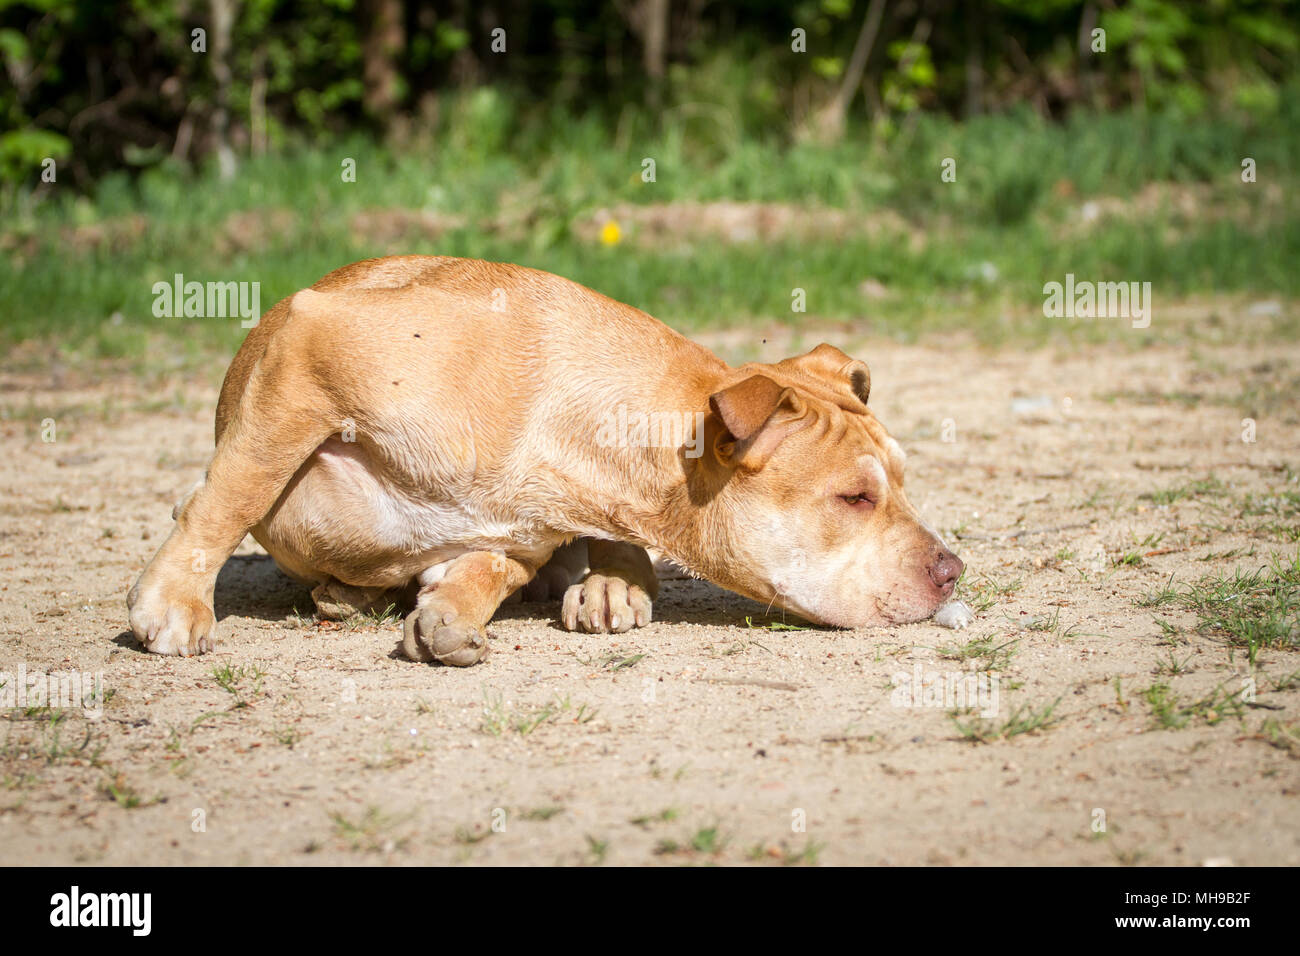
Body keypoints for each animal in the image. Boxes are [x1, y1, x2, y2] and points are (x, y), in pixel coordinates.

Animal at [129, 257, 967, 671]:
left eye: (901, 482)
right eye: (855, 498)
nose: (954, 568)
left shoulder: (510, 538)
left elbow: (480, 574)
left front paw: (450, 617)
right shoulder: (311, 346)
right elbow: (234, 493)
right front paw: (174, 602)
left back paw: (609, 587)